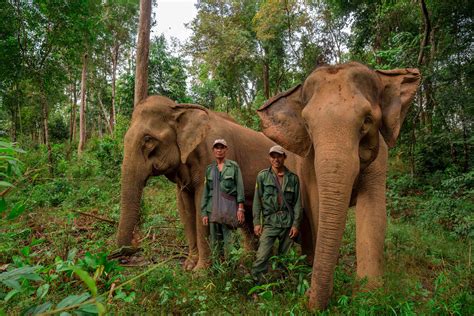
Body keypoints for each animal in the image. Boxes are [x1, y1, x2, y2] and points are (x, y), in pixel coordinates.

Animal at [116, 94, 298, 270]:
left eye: (148, 139)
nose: (135, 243)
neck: (180, 109)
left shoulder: (209, 160)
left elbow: (202, 207)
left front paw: (201, 272)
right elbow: (186, 210)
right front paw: (189, 266)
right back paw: (246, 261)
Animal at [258, 62, 420, 312]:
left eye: (366, 120)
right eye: (307, 125)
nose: (307, 298)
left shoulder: (380, 157)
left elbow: (373, 212)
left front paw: (368, 297)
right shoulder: (307, 162)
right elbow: (316, 207)